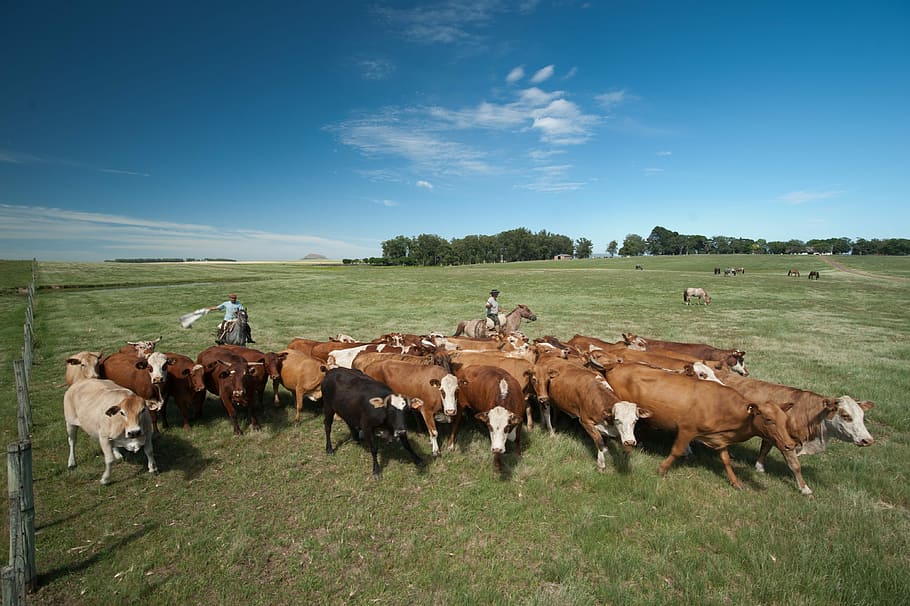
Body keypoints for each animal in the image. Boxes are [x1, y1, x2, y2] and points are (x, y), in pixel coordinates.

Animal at [604, 364, 796, 489]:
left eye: (784, 420)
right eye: (768, 419)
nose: (790, 445)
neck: (721, 405)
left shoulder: (719, 439)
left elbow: (726, 460)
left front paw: (736, 482)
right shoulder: (687, 430)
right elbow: (676, 450)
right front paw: (662, 469)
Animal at [717, 371, 874, 495]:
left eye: (862, 416)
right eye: (846, 416)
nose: (868, 440)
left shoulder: (774, 435)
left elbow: (765, 449)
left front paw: (759, 467)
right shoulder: (787, 442)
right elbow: (795, 465)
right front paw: (804, 488)